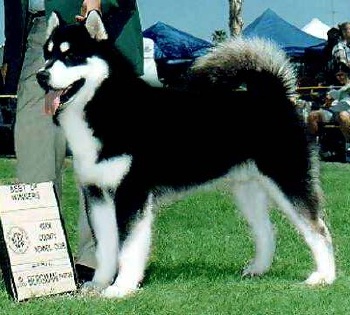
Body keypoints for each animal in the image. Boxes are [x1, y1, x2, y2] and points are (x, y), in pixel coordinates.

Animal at [36, 11, 336, 298]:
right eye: (47, 54)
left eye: (71, 55)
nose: (41, 76)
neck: (106, 105)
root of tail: (274, 97)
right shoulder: (97, 193)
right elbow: (106, 248)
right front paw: (99, 284)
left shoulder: (131, 194)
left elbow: (128, 247)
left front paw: (122, 287)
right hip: (247, 189)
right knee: (266, 230)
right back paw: (258, 269)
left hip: (289, 180)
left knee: (318, 230)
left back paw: (325, 277)